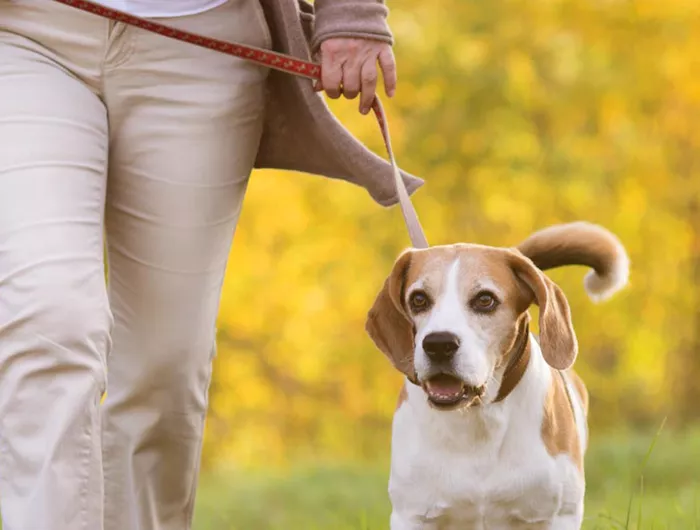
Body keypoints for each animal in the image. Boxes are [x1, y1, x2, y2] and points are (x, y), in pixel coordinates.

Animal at [366, 221, 628, 524]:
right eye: (418, 299)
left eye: (485, 300)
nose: (439, 344)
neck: (479, 418)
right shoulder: (412, 515)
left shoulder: (560, 515)